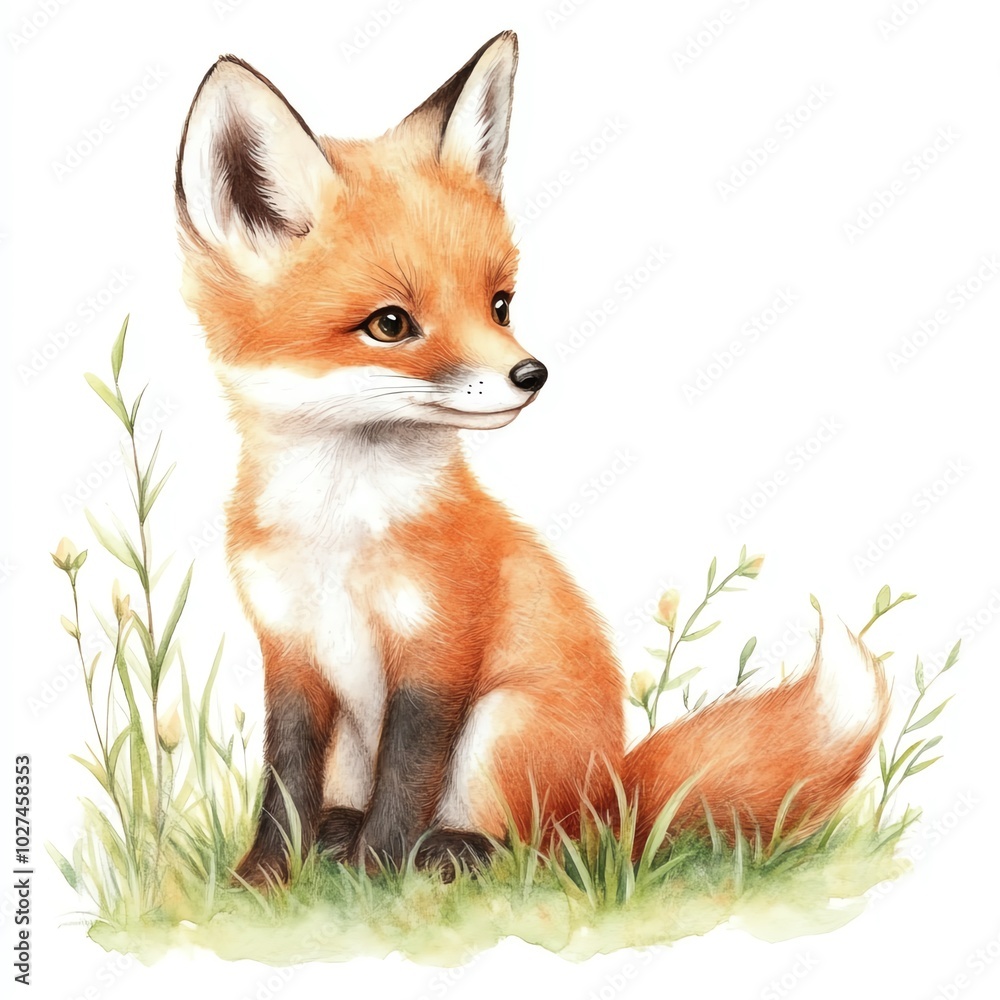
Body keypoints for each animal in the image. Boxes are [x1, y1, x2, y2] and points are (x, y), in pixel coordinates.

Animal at [173, 31, 889, 886]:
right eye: (390, 323)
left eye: (500, 304)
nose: (532, 375)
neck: (339, 534)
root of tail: (614, 797)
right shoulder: (290, 651)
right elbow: (284, 778)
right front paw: (262, 884)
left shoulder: (442, 649)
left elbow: (406, 777)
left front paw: (378, 881)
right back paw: (340, 839)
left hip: (503, 725)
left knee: (536, 850)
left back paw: (443, 857)